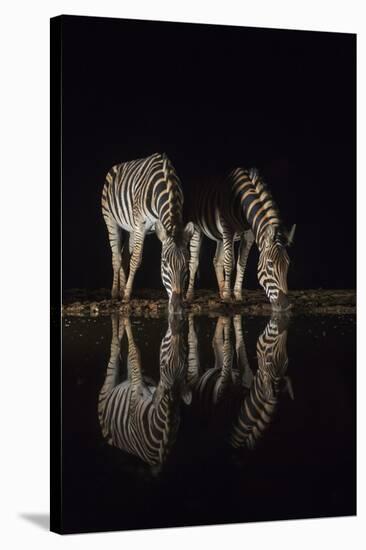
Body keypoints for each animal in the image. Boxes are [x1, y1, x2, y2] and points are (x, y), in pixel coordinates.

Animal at [98, 314, 190, 470]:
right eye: (185, 358)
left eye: (164, 364)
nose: (177, 323)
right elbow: (135, 354)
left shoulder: (135, 392)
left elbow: (134, 353)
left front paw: (126, 319)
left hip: (108, 387)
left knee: (115, 347)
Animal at [101, 153, 194, 316]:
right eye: (164, 263)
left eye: (187, 264)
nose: (176, 308)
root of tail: (115, 167)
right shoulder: (141, 226)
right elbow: (136, 260)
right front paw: (126, 296)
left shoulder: (140, 227)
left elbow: (132, 259)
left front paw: (126, 291)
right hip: (111, 220)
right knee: (117, 257)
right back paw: (115, 293)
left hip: (131, 228)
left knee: (124, 255)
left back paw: (122, 288)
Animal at [187, 168, 296, 312]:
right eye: (270, 264)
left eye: (288, 264)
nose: (285, 305)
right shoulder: (228, 228)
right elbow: (229, 262)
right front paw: (228, 296)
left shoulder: (248, 234)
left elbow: (241, 263)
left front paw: (237, 295)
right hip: (197, 227)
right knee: (193, 262)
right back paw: (189, 295)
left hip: (220, 236)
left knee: (217, 261)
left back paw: (221, 292)